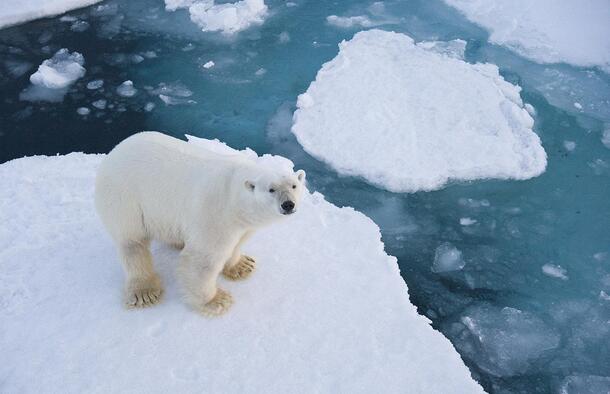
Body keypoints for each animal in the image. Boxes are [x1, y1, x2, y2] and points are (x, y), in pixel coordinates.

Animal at [95, 132, 304, 318]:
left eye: (294, 185)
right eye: (271, 189)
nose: (288, 204)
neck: (233, 194)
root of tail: (116, 150)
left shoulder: (243, 223)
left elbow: (238, 243)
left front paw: (243, 265)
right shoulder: (216, 214)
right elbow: (203, 259)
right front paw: (216, 301)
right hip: (124, 197)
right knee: (132, 242)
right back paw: (144, 291)